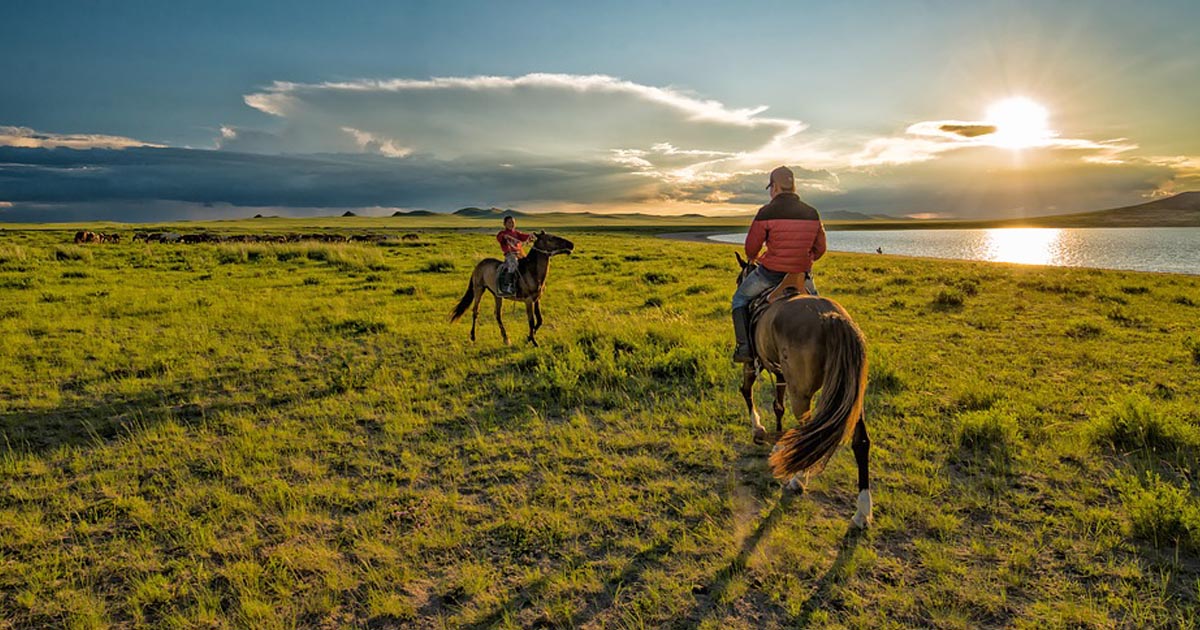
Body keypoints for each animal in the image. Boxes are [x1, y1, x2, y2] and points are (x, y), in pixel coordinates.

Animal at [729, 253, 873, 528]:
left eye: (739, 278)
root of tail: (832, 318)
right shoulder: (780, 373)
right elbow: (778, 406)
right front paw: (777, 443)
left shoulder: (753, 363)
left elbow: (747, 391)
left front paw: (759, 430)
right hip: (853, 397)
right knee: (860, 441)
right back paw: (862, 511)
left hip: (802, 394)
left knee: (811, 433)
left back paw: (798, 480)